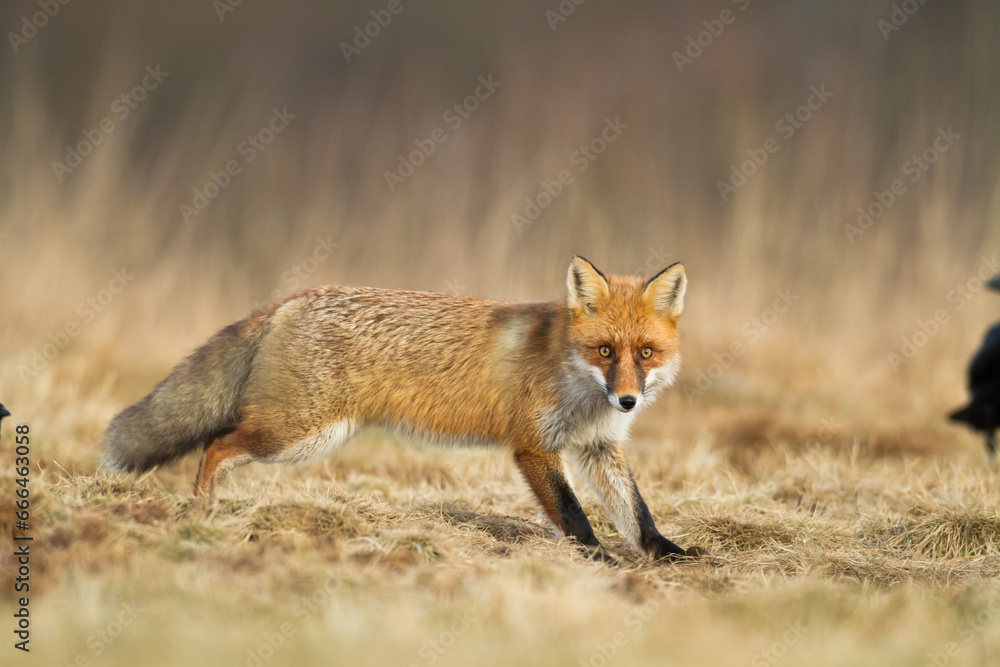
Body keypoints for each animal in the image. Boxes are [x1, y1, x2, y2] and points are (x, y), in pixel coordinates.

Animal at [105, 258, 704, 564]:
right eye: (604, 351)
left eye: (645, 354)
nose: (627, 400)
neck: (578, 385)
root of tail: (289, 300)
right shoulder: (534, 447)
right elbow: (575, 515)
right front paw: (597, 560)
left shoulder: (599, 446)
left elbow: (638, 512)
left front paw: (668, 554)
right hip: (300, 435)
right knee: (215, 444)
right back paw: (201, 510)